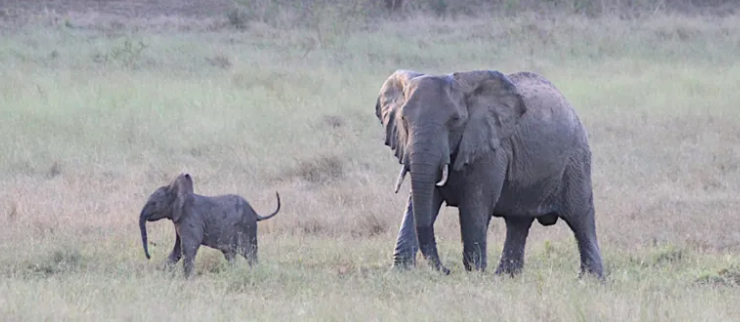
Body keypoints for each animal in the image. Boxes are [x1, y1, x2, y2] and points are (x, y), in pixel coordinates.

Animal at [137, 174, 278, 276]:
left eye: (154, 203)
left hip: (246, 228)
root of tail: (255, 213)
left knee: (249, 253)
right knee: (231, 255)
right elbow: (178, 250)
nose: (149, 256)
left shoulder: (190, 219)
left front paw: (188, 279)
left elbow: (189, 247)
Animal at [376, 68, 600, 280]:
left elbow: (474, 204)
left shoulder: (492, 151)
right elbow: (423, 201)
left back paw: (591, 279)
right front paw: (400, 272)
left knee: (580, 218)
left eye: (455, 120)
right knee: (518, 222)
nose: (446, 270)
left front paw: (474, 275)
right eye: (403, 118)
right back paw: (505, 277)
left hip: (576, 160)